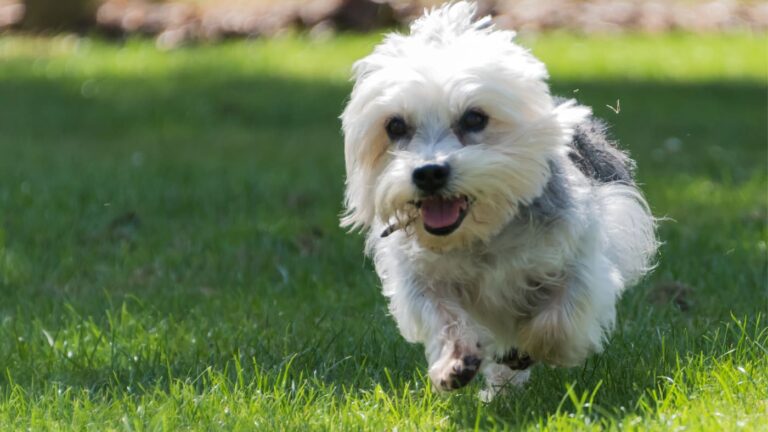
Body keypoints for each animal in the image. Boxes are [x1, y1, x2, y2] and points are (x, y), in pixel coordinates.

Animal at [340, 0, 656, 398]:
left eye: (475, 118)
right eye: (394, 125)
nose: (428, 173)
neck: (483, 235)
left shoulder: (582, 257)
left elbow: (558, 318)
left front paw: (531, 347)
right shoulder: (419, 278)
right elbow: (443, 315)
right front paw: (454, 360)